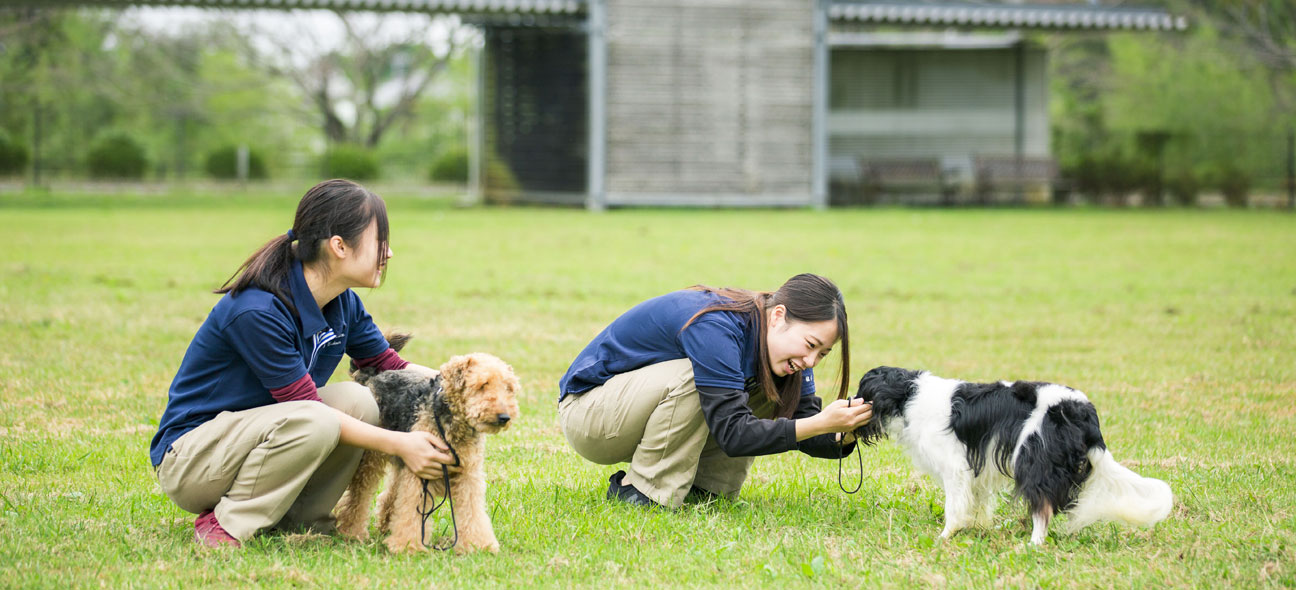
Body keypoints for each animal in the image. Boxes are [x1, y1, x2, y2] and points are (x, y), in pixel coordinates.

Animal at [850, 368, 1176, 547]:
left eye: (862, 391)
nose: (848, 401)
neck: (908, 393)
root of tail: (1084, 411)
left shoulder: (955, 468)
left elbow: (954, 507)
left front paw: (945, 537)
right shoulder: (975, 470)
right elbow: (976, 504)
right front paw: (976, 529)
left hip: (1034, 456)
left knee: (1042, 506)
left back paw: (1034, 543)